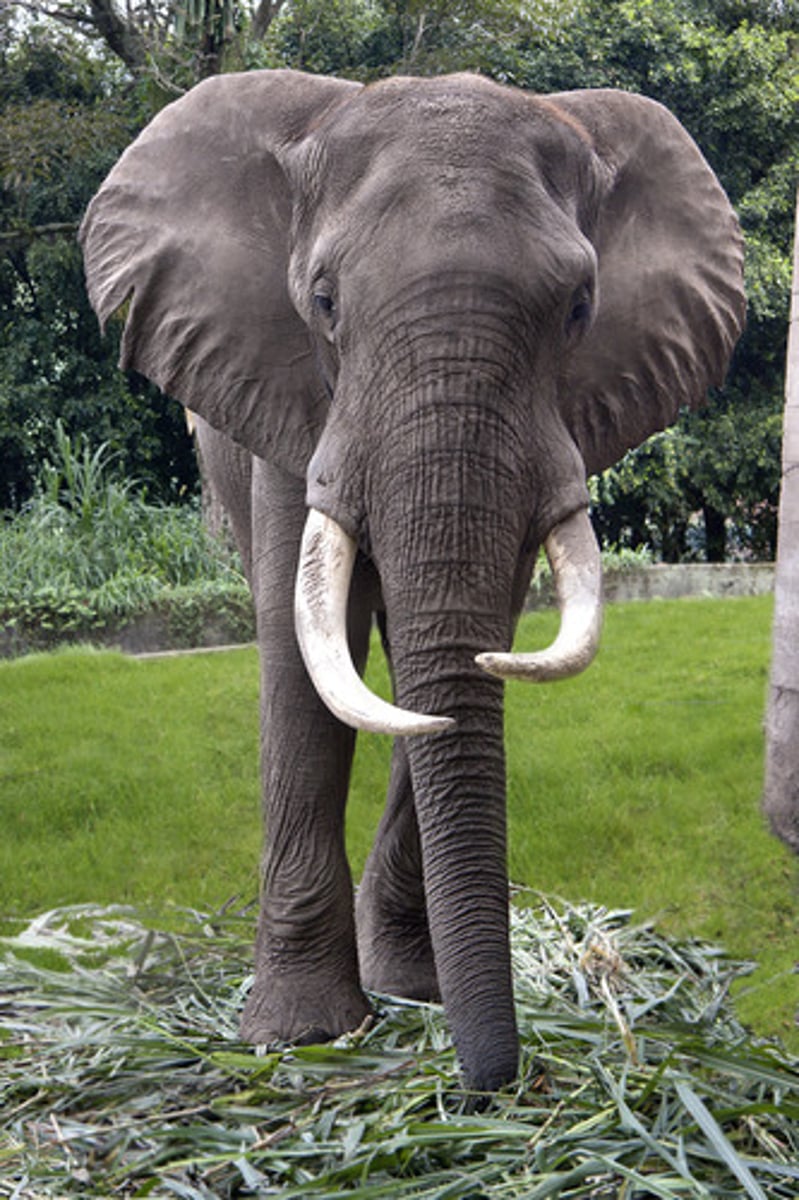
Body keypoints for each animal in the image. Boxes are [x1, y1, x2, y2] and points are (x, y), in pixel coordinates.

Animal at [80, 69, 745, 1093]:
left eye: (580, 308)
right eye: (322, 301)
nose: (494, 1084)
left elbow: (478, 640)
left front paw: (409, 993)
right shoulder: (291, 399)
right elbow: (304, 653)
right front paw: (299, 1037)